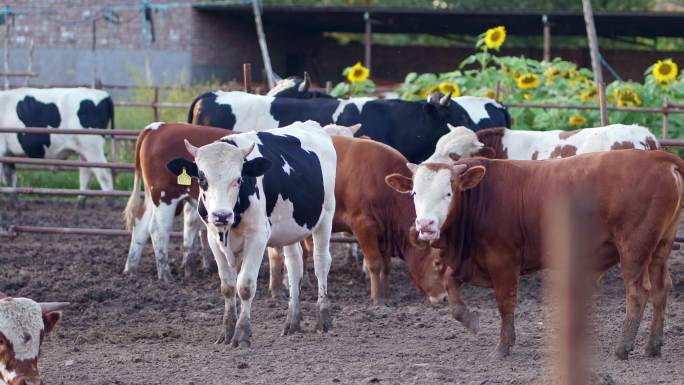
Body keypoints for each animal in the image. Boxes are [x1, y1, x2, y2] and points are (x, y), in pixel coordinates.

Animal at [166, 121, 336, 344]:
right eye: (202, 180)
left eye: (238, 179)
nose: (221, 215)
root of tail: (312, 125)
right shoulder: (213, 238)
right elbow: (228, 287)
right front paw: (226, 333)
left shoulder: (257, 237)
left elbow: (245, 286)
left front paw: (242, 334)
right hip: (290, 229)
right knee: (294, 266)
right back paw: (292, 323)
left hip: (326, 218)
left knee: (321, 263)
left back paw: (324, 320)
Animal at [388, 149, 684, 356]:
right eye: (414, 193)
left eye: (448, 193)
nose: (425, 225)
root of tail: (658, 157)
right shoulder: (470, 259)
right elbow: (451, 284)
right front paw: (470, 319)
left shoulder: (502, 259)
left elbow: (505, 302)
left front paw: (503, 347)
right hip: (661, 246)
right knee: (661, 289)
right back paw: (653, 345)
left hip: (634, 248)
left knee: (638, 292)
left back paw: (624, 347)